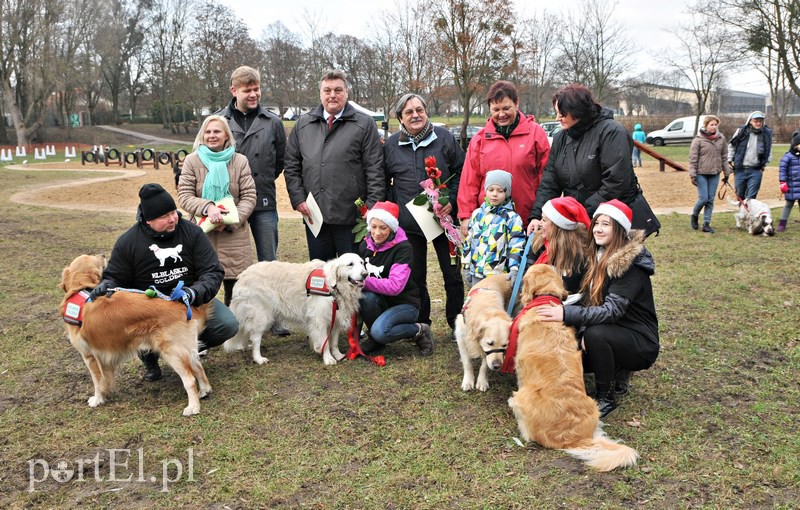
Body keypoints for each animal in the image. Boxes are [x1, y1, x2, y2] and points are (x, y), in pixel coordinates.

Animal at [222, 252, 366, 364]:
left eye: (362, 262)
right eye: (350, 264)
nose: (365, 274)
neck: (334, 287)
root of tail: (242, 276)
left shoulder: (336, 319)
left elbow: (334, 342)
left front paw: (338, 355)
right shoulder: (320, 320)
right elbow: (324, 342)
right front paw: (328, 358)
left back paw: (246, 347)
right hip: (260, 315)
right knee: (256, 338)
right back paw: (258, 358)